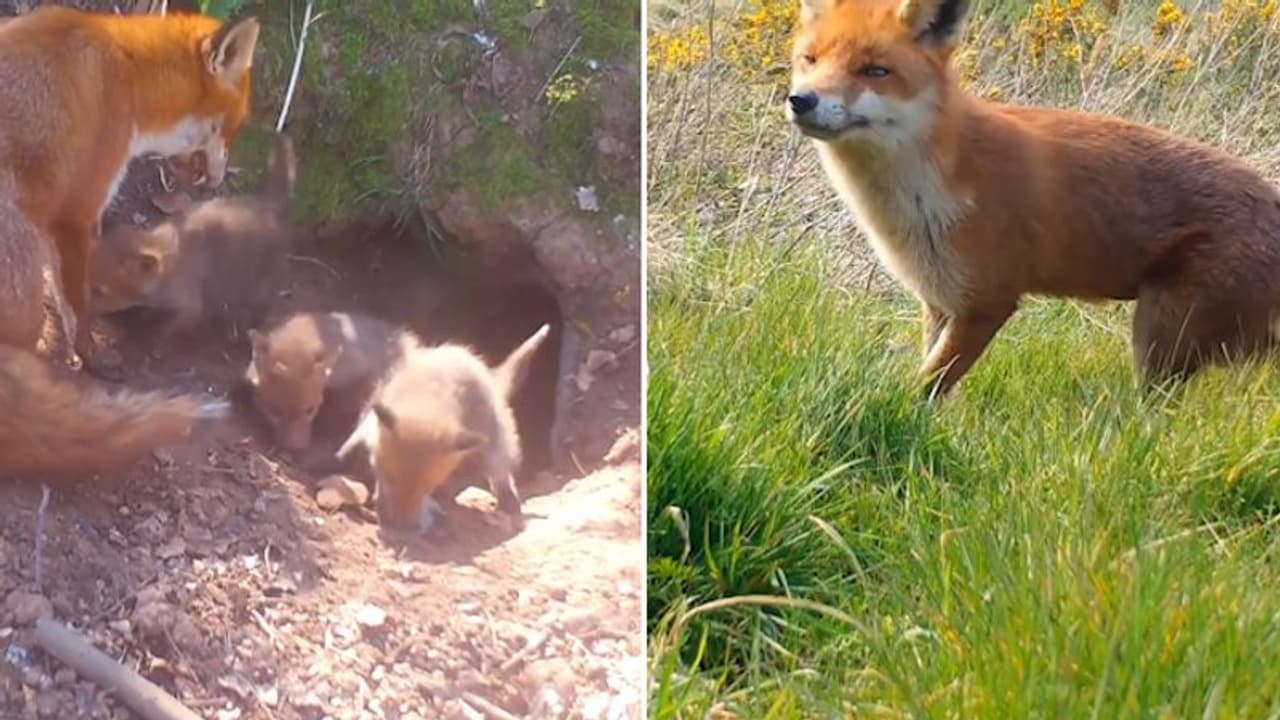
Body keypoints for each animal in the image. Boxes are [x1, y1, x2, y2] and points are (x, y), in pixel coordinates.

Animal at [0, 6, 260, 361]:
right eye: (238, 121)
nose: (219, 179)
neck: (130, 78)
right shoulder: (77, 213)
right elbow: (78, 304)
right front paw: (89, 352)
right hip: (26, 305)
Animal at [89, 131, 297, 343]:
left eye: (100, 291)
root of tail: (268, 206)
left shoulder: (191, 305)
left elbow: (169, 329)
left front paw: (155, 338)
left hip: (259, 289)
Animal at [336, 324, 551, 533]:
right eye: (388, 477)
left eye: (428, 487)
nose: (401, 527)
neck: (427, 396)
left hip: (493, 437)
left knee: (500, 469)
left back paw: (508, 502)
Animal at [787, 0, 1280, 397]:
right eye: (810, 60)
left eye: (875, 71)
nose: (801, 100)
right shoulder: (940, 299)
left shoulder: (987, 302)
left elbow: (923, 390)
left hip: (1158, 341)